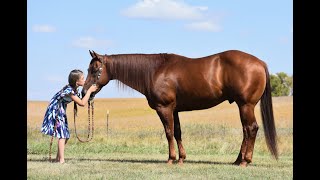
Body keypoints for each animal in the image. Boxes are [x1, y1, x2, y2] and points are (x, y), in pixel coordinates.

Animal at [80, 49, 278, 167]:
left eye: (94, 69)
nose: (83, 92)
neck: (154, 71)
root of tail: (260, 62)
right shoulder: (174, 110)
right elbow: (177, 132)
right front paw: (182, 158)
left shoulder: (164, 108)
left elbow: (168, 133)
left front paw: (171, 158)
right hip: (242, 106)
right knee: (246, 130)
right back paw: (237, 160)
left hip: (245, 105)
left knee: (251, 129)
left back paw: (246, 161)